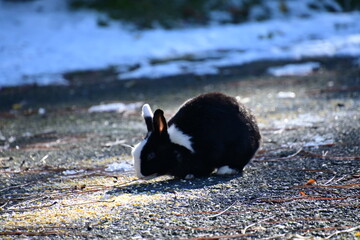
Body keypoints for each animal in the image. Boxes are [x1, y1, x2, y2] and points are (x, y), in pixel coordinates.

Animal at [131, 93, 260, 179]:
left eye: (151, 155)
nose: (139, 174)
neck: (177, 147)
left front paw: (190, 175)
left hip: (243, 147)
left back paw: (225, 170)